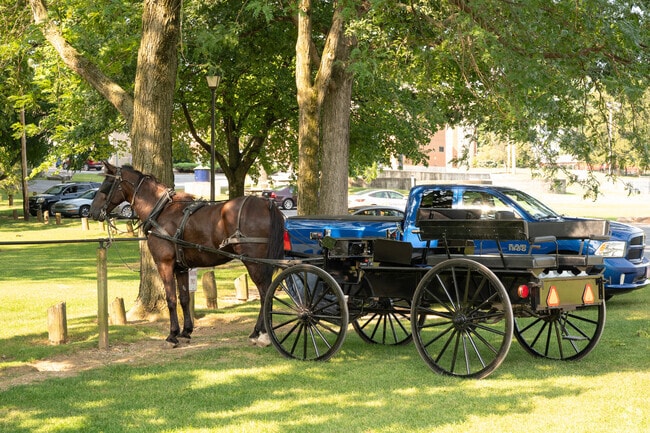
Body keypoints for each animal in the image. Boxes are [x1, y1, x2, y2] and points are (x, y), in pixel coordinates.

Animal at [89, 162, 285, 347]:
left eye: (106, 184)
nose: (92, 211)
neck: (161, 211)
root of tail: (266, 203)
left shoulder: (164, 264)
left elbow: (171, 299)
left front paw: (172, 335)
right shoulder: (181, 268)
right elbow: (184, 298)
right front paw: (186, 331)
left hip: (255, 263)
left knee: (265, 293)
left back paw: (260, 333)